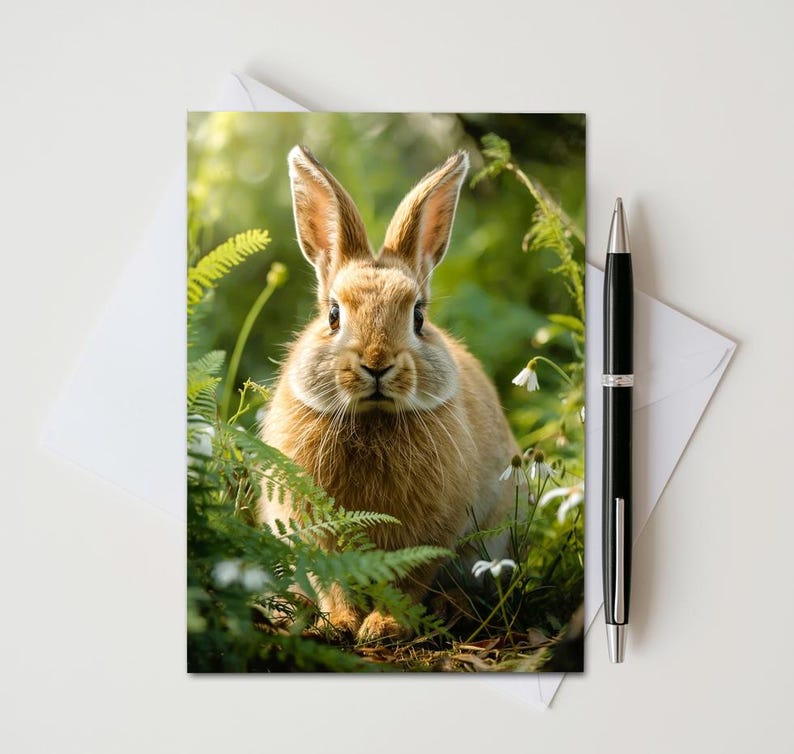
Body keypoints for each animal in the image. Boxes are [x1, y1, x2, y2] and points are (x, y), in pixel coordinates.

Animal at [258, 145, 520, 642]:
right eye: (334, 315)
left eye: (418, 316)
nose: (377, 363)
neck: (371, 419)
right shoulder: (315, 529)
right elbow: (332, 580)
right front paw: (340, 625)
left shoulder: (434, 533)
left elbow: (409, 578)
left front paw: (382, 627)